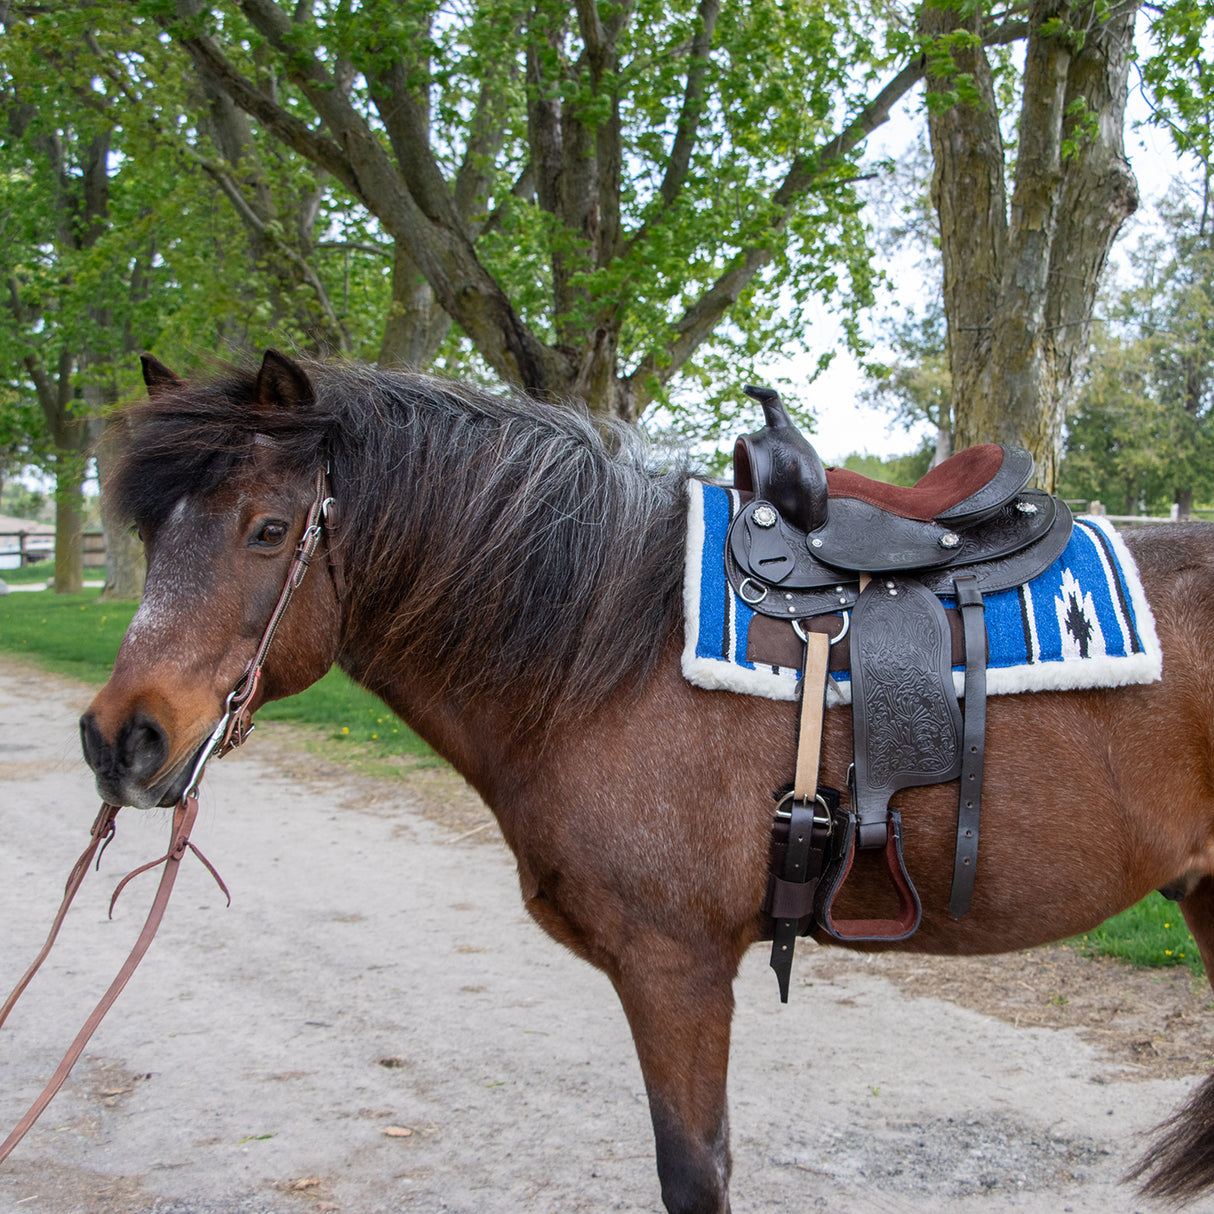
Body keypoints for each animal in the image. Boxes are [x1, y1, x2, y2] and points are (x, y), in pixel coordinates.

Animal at [76, 348, 1214, 1214]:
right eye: (151, 533)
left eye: (269, 529)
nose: (117, 739)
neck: (605, 650)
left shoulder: (675, 966)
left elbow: (694, 1171)